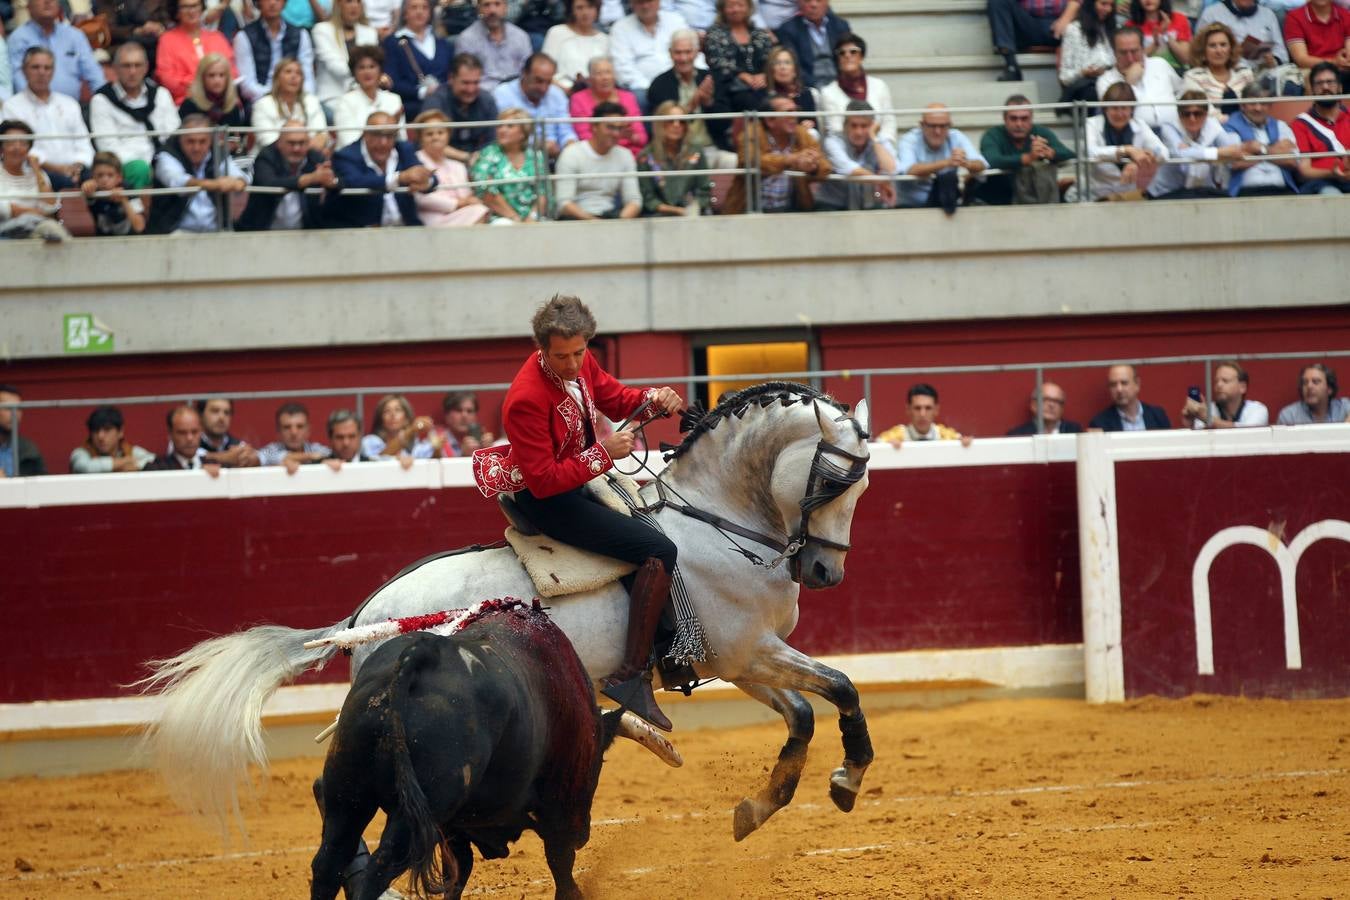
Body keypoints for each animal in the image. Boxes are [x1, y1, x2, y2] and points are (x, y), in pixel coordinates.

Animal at [145, 383, 874, 847]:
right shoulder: (748, 650)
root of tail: (367, 615)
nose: (827, 573)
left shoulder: (736, 658)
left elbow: (803, 715)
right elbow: (841, 688)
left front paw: (755, 808)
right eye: (831, 481)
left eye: (864, 484)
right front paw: (848, 778)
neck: (716, 520)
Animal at [310, 601, 621, 895]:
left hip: (347, 792)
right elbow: (562, 868)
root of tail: (421, 653)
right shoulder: (559, 812)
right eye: (598, 764)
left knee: (330, 861)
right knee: (378, 869)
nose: (584, 834)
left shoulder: (453, 830)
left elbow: (457, 874)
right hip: (414, 811)